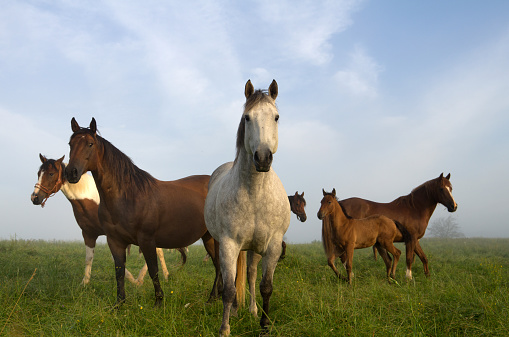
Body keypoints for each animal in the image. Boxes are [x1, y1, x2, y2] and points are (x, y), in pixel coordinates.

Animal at [64, 117, 221, 304]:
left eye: (90, 144)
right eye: (70, 144)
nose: (71, 172)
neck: (128, 197)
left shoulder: (147, 240)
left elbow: (153, 270)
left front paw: (159, 302)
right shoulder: (115, 241)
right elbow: (119, 272)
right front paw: (119, 304)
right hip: (208, 237)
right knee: (219, 266)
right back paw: (215, 298)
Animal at [203, 80, 290, 334]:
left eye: (276, 117)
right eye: (247, 117)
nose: (262, 158)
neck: (255, 195)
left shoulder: (272, 246)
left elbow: (265, 286)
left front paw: (264, 325)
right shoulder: (229, 244)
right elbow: (230, 289)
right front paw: (224, 328)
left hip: (253, 247)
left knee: (250, 274)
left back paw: (251, 310)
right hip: (227, 245)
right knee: (229, 277)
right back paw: (234, 311)